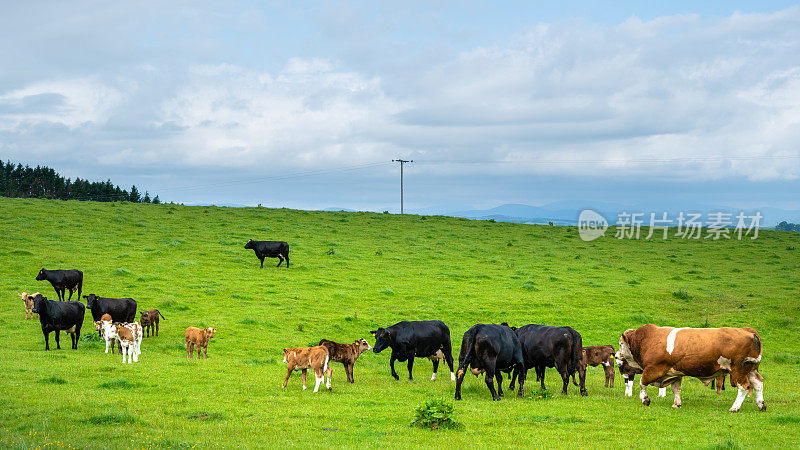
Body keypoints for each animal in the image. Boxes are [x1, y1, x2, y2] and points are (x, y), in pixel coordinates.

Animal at [616, 324, 764, 412]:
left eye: (620, 344)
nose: (616, 356)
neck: (649, 340)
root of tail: (747, 330)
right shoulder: (675, 373)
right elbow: (676, 389)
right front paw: (676, 404)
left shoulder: (653, 369)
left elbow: (642, 383)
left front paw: (645, 400)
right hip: (751, 369)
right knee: (758, 383)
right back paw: (761, 404)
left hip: (738, 371)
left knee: (744, 387)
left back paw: (735, 408)